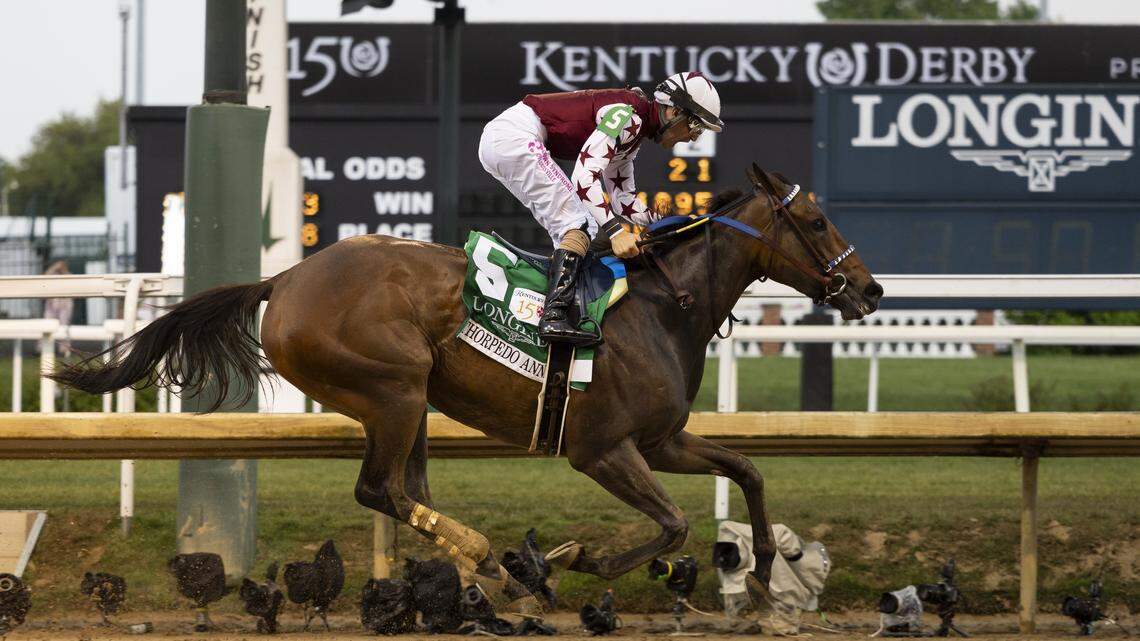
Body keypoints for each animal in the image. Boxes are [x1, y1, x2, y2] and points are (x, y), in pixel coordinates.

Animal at [52, 164, 882, 615]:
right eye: (814, 219)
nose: (869, 288)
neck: (659, 305)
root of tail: (283, 278)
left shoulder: (661, 437)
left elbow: (748, 467)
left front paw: (769, 571)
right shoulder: (602, 449)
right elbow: (674, 523)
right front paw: (575, 559)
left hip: (409, 398)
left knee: (404, 488)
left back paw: (489, 569)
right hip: (393, 387)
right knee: (379, 488)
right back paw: (494, 560)